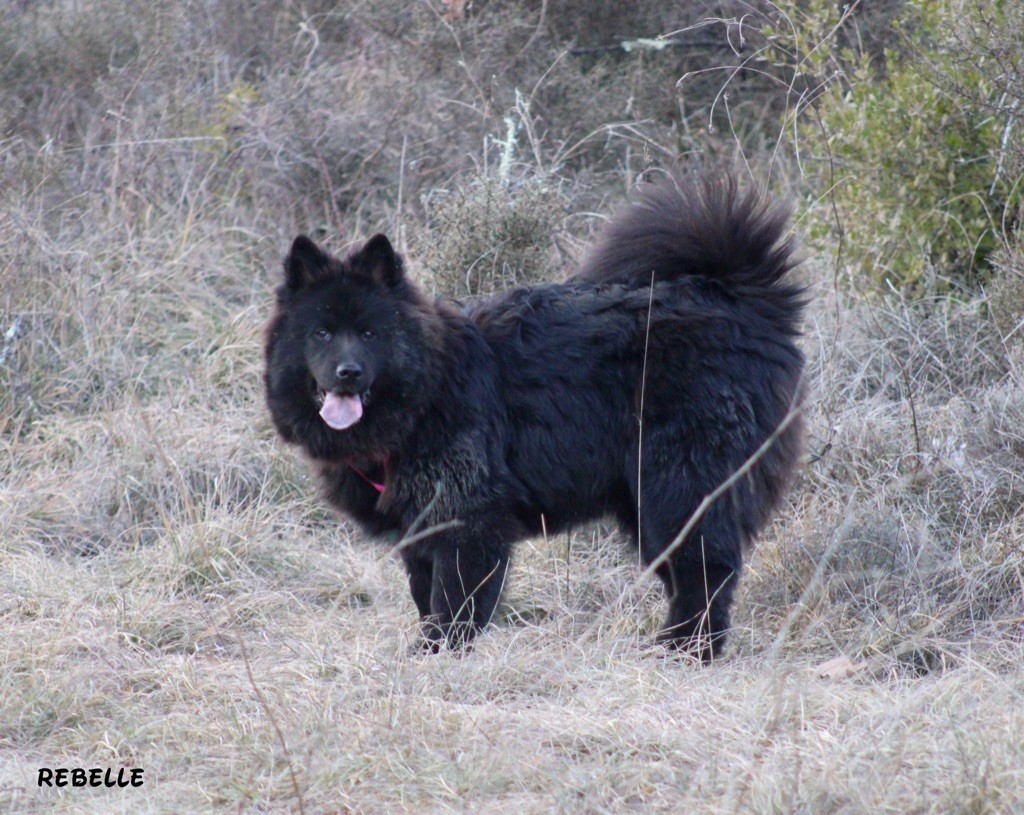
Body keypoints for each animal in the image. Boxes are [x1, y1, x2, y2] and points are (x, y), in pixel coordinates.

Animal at [266, 173, 806, 663]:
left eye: (369, 333)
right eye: (321, 333)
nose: (348, 373)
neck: (426, 393)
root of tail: (739, 299)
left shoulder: (469, 518)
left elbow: (454, 603)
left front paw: (439, 655)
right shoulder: (418, 528)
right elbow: (425, 595)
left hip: (678, 491)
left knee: (705, 574)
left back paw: (685, 653)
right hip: (643, 505)